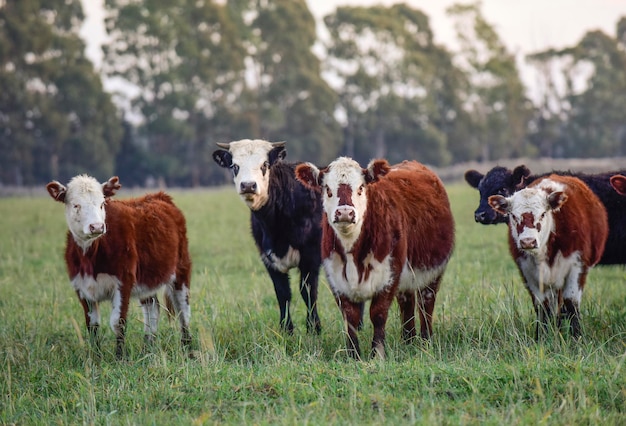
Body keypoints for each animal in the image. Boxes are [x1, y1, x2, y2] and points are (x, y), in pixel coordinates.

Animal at [46, 175, 190, 358]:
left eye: (102, 203)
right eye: (76, 205)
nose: (97, 226)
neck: (91, 255)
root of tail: (159, 196)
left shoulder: (123, 282)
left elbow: (118, 322)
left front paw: (119, 357)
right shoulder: (81, 288)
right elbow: (92, 325)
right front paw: (95, 357)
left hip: (181, 270)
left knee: (183, 309)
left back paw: (188, 348)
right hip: (146, 280)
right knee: (152, 308)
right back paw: (148, 347)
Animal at [213, 139, 322, 332]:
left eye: (264, 164)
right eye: (235, 166)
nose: (248, 185)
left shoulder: (311, 257)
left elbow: (308, 292)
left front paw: (314, 328)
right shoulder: (268, 259)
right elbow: (282, 293)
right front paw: (286, 329)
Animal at [294, 158, 454, 358]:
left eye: (361, 187)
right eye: (328, 189)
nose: (345, 213)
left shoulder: (388, 275)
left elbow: (378, 314)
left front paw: (377, 353)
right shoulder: (337, 279)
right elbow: (350, 317)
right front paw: (353, 354)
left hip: (432, 273)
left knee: (426, 305)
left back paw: (426, 340)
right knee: (407, 304)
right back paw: (408, 340)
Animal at [486, 174, 608, 340]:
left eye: (543, 214)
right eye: (513, 216)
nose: (528, 241)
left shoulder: (577, 266)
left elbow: (571, 303)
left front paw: (577, 337)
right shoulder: (528, 272)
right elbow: (542, 306)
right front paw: (542, 337)